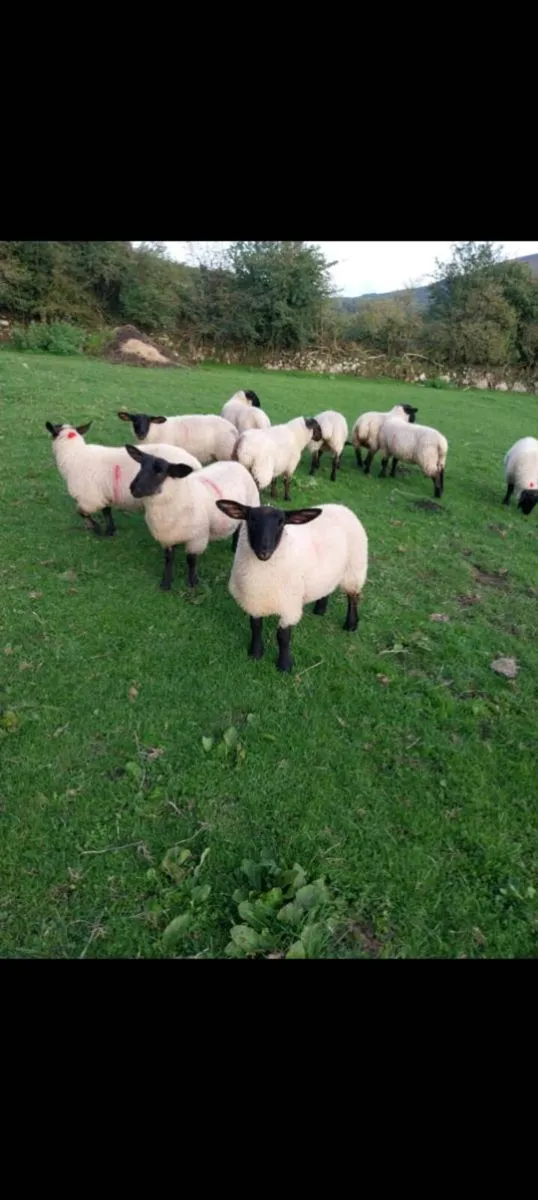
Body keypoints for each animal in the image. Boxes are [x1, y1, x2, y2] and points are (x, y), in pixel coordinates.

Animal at [45, 421, 201, 536]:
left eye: (52, 433)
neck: (73, 455)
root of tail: (196, 464)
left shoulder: (89, 498)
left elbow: (82, 512)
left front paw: (97, 529)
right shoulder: (103, 494)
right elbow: (106, 511)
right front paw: (110, 530)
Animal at [125, 445, 260, 590]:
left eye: (160, 473)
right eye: (141, 466)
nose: (133, 488)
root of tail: (237, 464)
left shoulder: (197, 538)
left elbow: (191, 561)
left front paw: (192, 582)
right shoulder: (167, 538)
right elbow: (168, 559)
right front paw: (166, 582)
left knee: (239, 530)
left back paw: (234, 548)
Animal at [215, 499, 368, 673]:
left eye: (281, 522)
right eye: (251, 519)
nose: (264, 552)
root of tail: (340, 507)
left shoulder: (289, 606)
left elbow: (283, 637)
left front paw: (284, 665)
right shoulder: (255, 601)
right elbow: (256, 627)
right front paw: (255, 653)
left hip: (355, 569)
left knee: (353, 596)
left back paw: (351, 624)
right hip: (328, 572)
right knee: (327, 587)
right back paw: (320, 610)